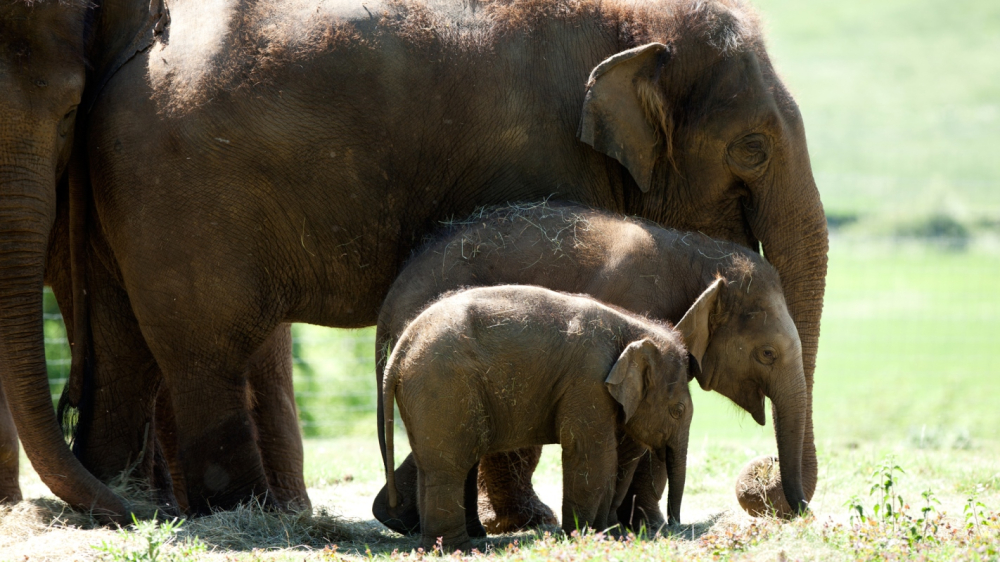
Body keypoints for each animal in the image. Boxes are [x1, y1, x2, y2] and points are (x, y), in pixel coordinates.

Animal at [382, 282, 696, 548]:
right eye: (678, 411)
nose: (674, 526)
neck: (632, 327)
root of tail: (401, 349)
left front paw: (602, 534)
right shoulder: (588, 380)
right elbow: (591, 453)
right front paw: (586, 537)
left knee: (437, 465)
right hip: (443, 386)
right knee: (450, 465)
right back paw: (459, 548)